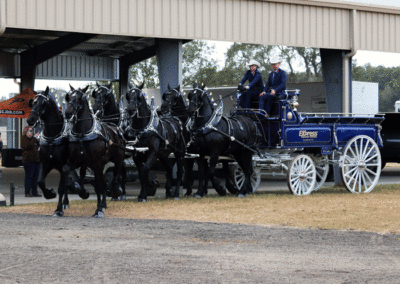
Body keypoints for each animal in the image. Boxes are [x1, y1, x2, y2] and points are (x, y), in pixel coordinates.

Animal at [63, 84, 126, 217]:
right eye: (68, 96)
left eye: (80, 98)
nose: (68, 113)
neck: (82, 133)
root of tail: (116, 128)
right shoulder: (77, 160)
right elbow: (67, 170)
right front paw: (79, 191)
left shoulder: (96, 162)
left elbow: (98, 185)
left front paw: (98, 209)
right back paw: (103, 203)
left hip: (118, 157)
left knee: (116, 173)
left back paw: (115, 192)